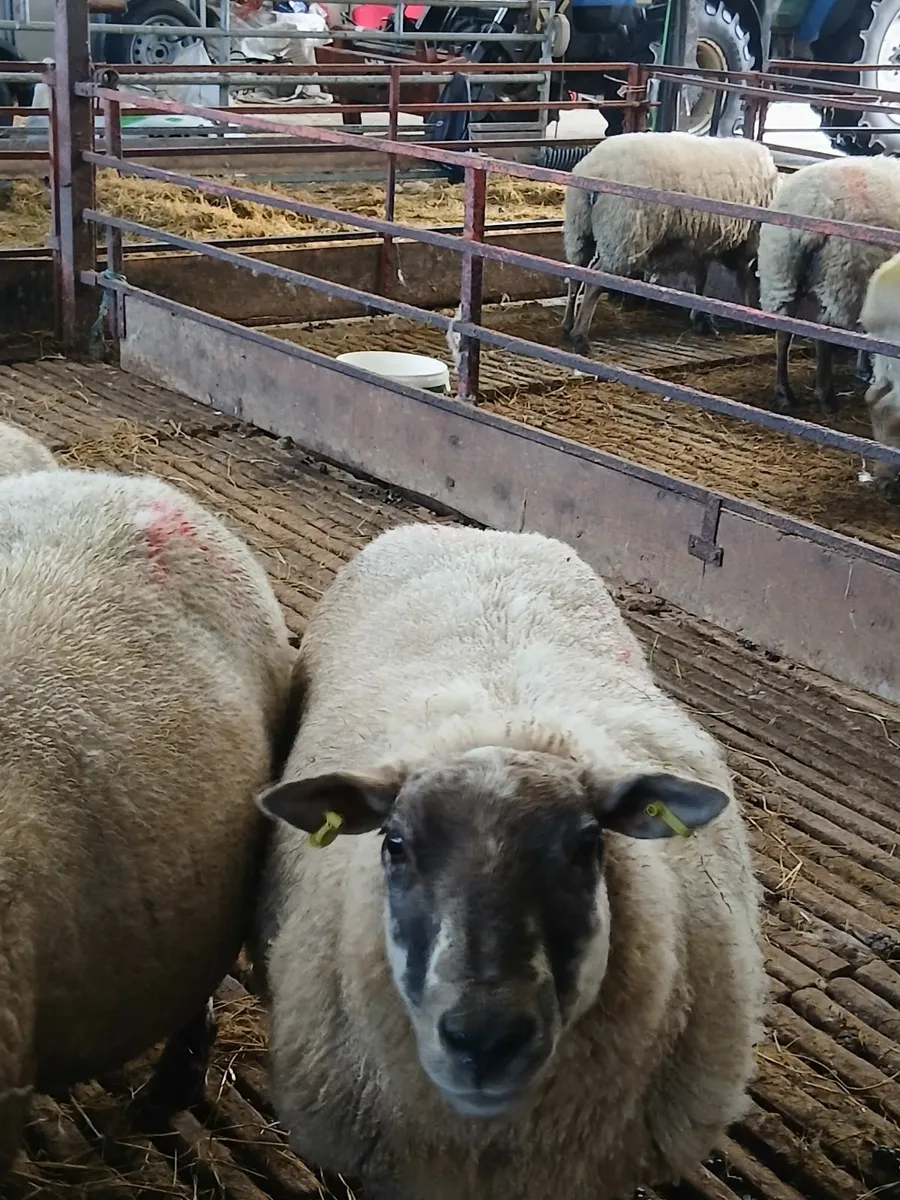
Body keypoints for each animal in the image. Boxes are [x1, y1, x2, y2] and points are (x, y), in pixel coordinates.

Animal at [561, 131, 779, 353]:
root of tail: (595, 169)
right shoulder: (748, 238)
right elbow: (742, 277)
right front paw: (748, 318)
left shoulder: (699, 242)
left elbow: (701, 278)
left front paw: (701, 318)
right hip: (622, 236)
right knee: (594, 281)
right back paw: (580, 337)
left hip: (579, 229)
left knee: (575, 273)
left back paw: (568, 325)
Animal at [757, 155, 900, 414]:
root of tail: (811, 204)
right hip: (844, 273)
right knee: (824, 333)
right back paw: (826, 396)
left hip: (780, 270)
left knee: (783, 332)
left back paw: (784, 393)